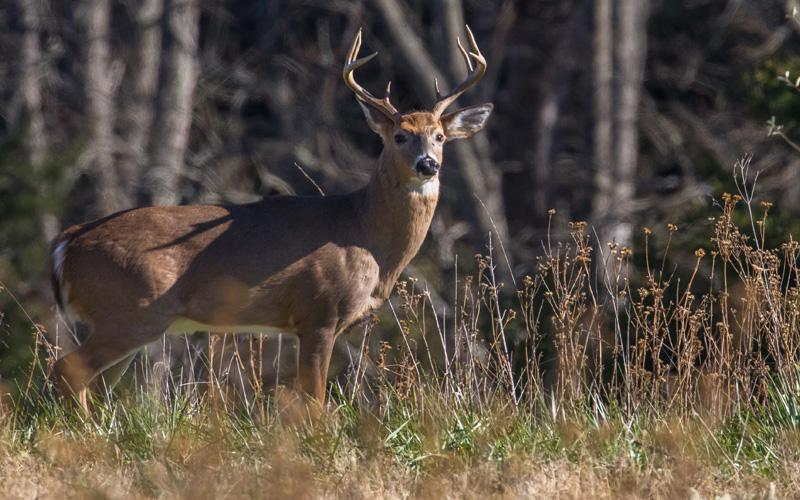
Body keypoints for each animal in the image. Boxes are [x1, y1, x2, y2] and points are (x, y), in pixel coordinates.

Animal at [51, 25, 494, 410]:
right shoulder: (320, 311)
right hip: (131, 310)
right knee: (68, 368)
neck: (364, 234)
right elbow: (315, 401)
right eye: (400, 135)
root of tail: (66, 242)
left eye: (439, 135)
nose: (428, 164)